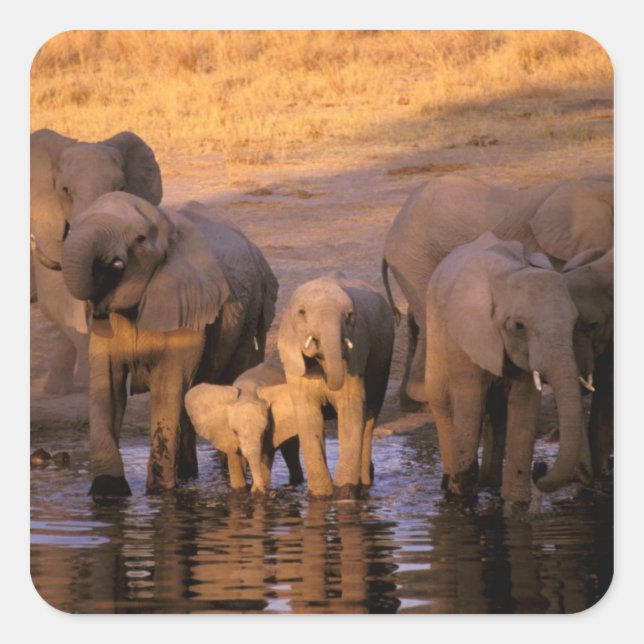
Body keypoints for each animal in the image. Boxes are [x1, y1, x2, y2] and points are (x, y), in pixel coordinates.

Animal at [35, 192, 278, 497]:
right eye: (73, 226)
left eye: (139, 239)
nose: (112, 263)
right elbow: (107, 384)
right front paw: (108, 492)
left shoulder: (186, 303)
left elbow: (168, 384)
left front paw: (161, 493)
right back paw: (187, 474)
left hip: (253, 316)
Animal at [184, 359, 304, 494]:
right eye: (235, 432)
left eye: (265, 431)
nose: (273, 493)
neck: (248, 392)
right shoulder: (228, 436)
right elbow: (235, 460)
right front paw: (241, 490)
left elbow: (265, 457)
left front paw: (256, 492)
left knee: (291, 451)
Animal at [277, 272, 394, 499]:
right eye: (302, 312)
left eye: (349, 315)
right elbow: (309, 417)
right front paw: (320, 496)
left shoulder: (356, 353)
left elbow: (350, 409)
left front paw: (344, 495)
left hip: (383, 361)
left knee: (369, 419)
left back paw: (365, 482)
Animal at [424, 232, 588, 504]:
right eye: (519, 326)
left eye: (575, 323)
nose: (540, 468)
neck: (509, 273)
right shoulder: (466, 334)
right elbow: (470, 400)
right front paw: (462, 501)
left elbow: (524, 402)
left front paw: (515, 502)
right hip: (434, 326)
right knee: (443, 401)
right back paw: (448, 484)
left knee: (497, 409)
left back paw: (490, 483)